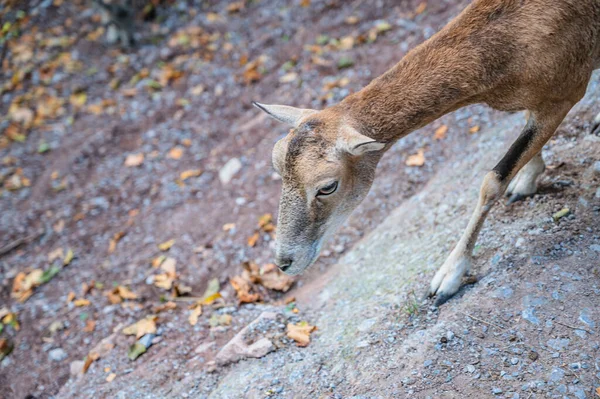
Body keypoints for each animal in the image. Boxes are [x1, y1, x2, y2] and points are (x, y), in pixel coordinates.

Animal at [252, 0, 600, 308]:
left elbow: (492, 181)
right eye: (276, 162)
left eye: (327, 186)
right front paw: (527, 179)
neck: (509, 47)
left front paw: (447, 279)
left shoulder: (565, 93)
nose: (284, 262)